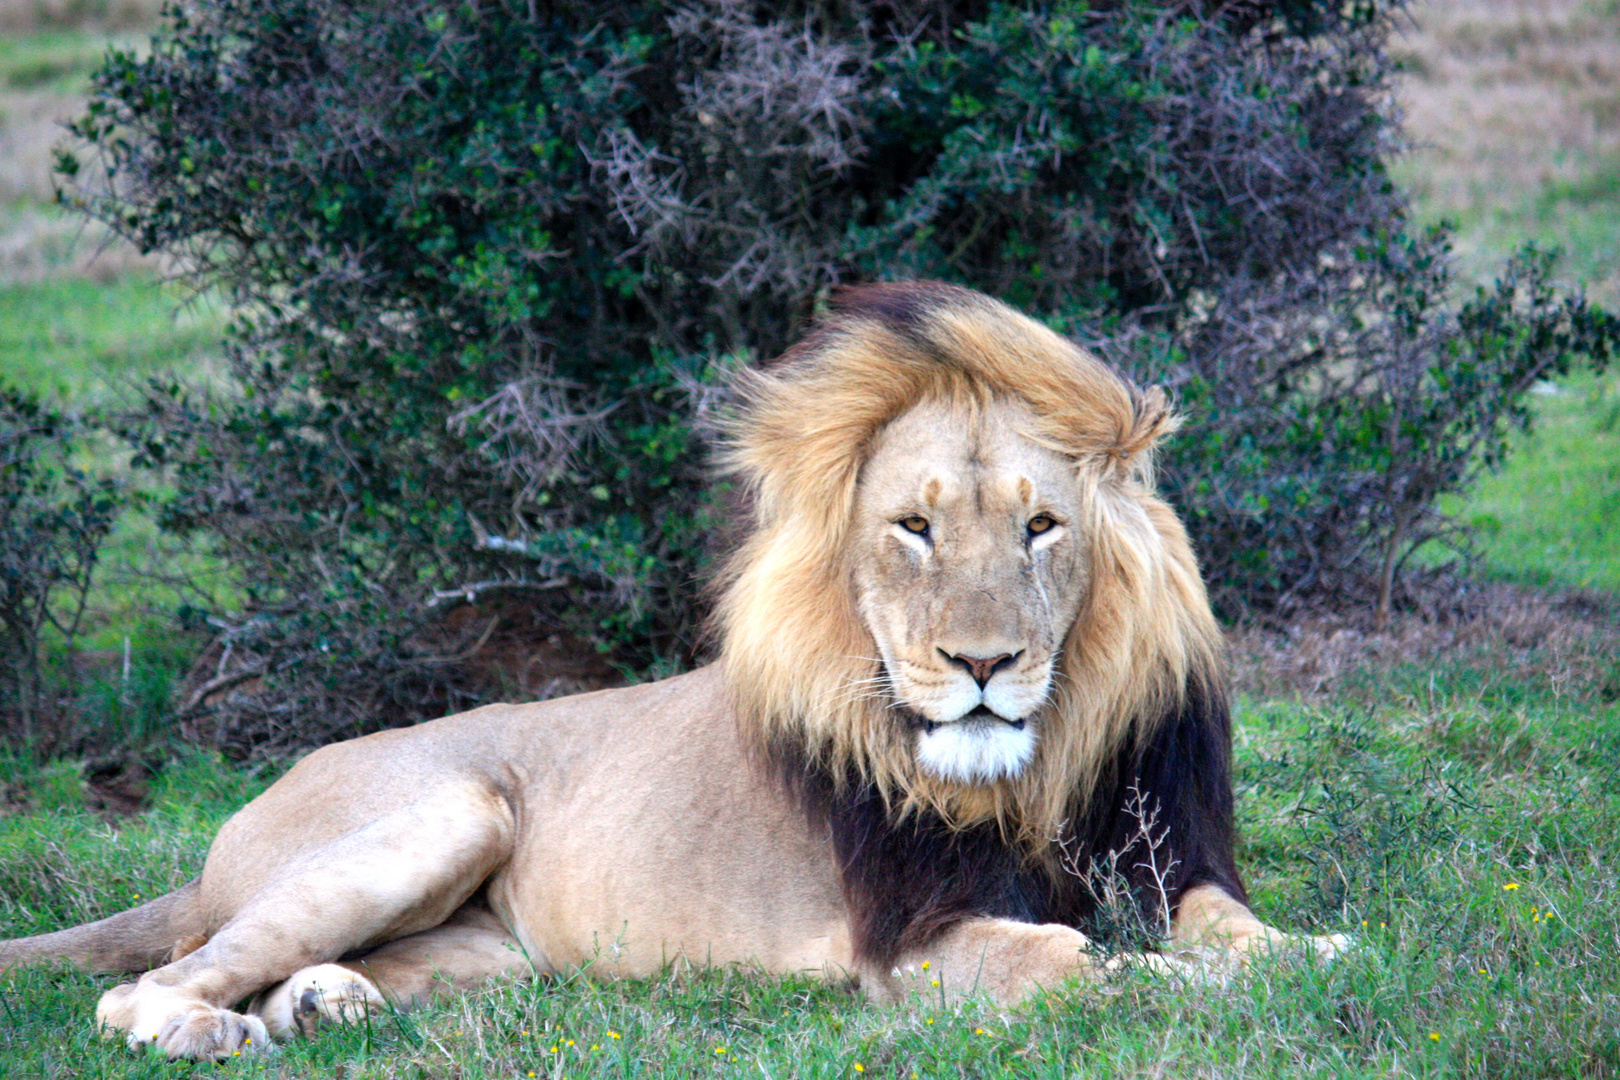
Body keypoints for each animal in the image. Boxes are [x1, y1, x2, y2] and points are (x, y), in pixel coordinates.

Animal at [0, 283, 1341, 1062]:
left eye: (1042, 528)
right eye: (912, 527)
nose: (981, 663)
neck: (1032, 767)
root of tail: (224, 835)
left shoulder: (1168, 854)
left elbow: (1235, 934)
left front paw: (1307, 954)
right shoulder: (918, 944)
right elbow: (1104, 975)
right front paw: (1202, 986)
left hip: (485, 954)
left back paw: (329, 1005)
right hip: (446, 811)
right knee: (142, 987)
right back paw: (205, 1028)